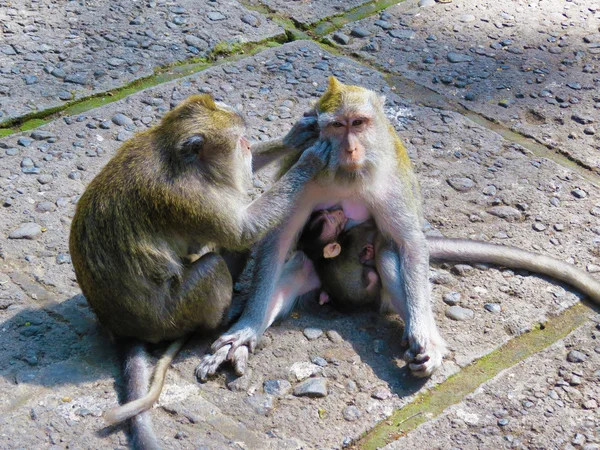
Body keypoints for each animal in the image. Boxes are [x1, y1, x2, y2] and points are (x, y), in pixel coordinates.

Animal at [71, 93, 332, 448]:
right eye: (237, 140)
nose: (247, 144)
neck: (174, 154)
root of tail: (123, 328)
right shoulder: (194, 200)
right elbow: (243, 230)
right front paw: (309, 160)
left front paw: (298, 136)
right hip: (170, 317)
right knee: (212, 267)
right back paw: (221, 320)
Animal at [198, 77, 600, 380]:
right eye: (337, 126)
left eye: (358, 123)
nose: (351, 148)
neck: (347, 174)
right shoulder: (305, 175)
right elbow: (277, 240)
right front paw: (247, 329)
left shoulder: (389, 182)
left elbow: (409, 245)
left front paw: (424, 334)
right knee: (296, 263)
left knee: (390, 256)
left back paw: (424, 342)